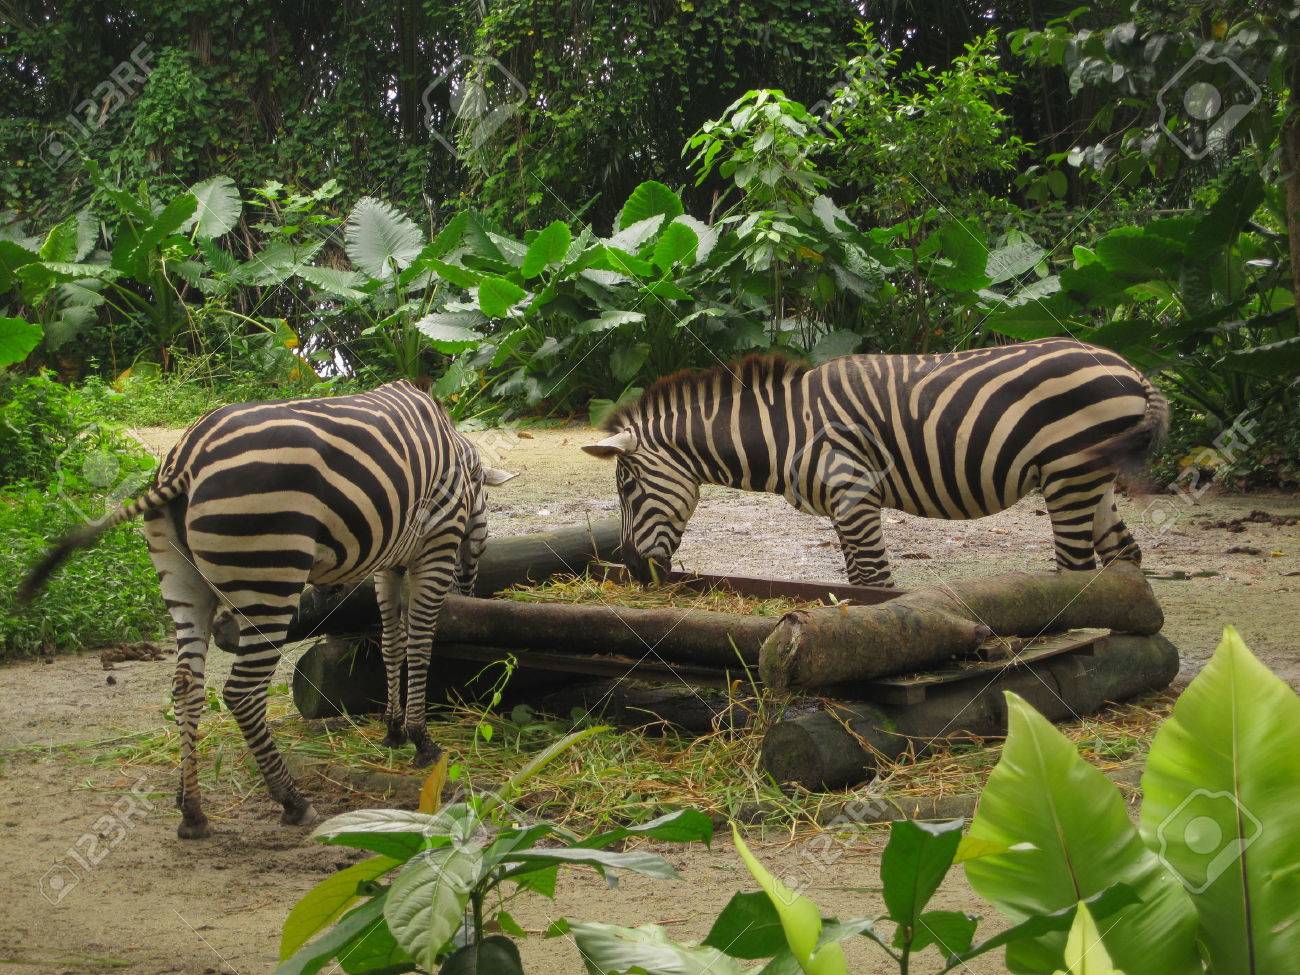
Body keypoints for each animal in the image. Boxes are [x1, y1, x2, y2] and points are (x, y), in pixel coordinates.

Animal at [20, 381, 514, 839]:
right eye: (486, 511)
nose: (470, 589)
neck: (460, 459)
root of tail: (185, 460)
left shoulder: (389, 561)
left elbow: (392, 644)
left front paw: (392, 730)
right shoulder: (436, 545)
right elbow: (420, 644)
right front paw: (421, 740)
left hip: (183, 582)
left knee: (186, 685)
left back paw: (191, 809)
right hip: (270, 579)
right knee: (241, 693)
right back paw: (292, 800)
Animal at [582, 338, 1168, 587]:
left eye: (627, 488)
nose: (632, 570)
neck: (783, 433)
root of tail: (1132, 370)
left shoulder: (854, 493)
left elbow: (873, 582)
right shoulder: (845, 509)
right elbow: (857, 578)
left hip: (1068, 474)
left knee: (1076, 570)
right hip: (1090, 479)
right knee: (1124, 556)